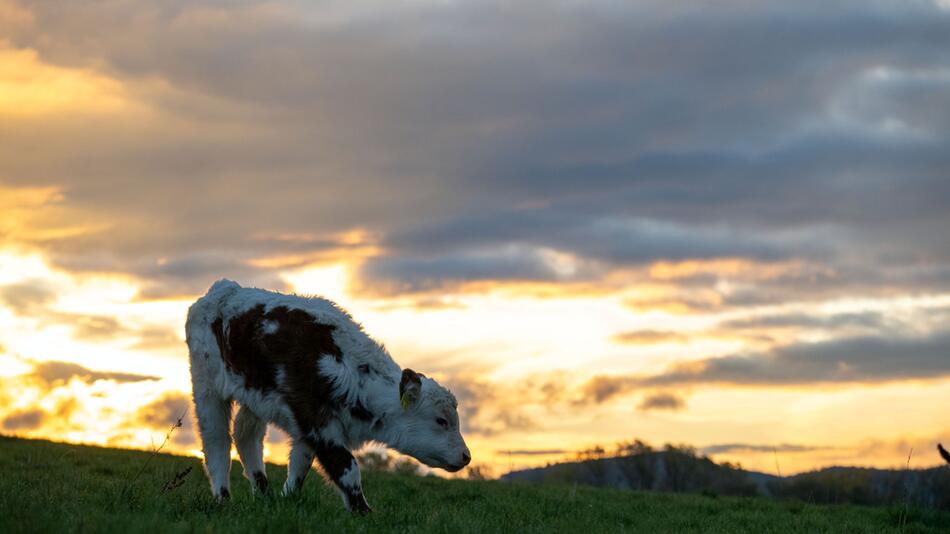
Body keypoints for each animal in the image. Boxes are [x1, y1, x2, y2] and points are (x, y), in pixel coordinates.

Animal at [184, 280, 470, 510]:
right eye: (441, 420)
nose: (466, 456)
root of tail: (223, 288)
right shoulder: (318, 423)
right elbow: (348, 468)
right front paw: (363, 512)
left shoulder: (307, 428)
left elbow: (299, 465)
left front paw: (286, 500)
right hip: (205, 383)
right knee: (217, 441)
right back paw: (223, 498)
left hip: (254, 397)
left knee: (246, 435)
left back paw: (263, 494)